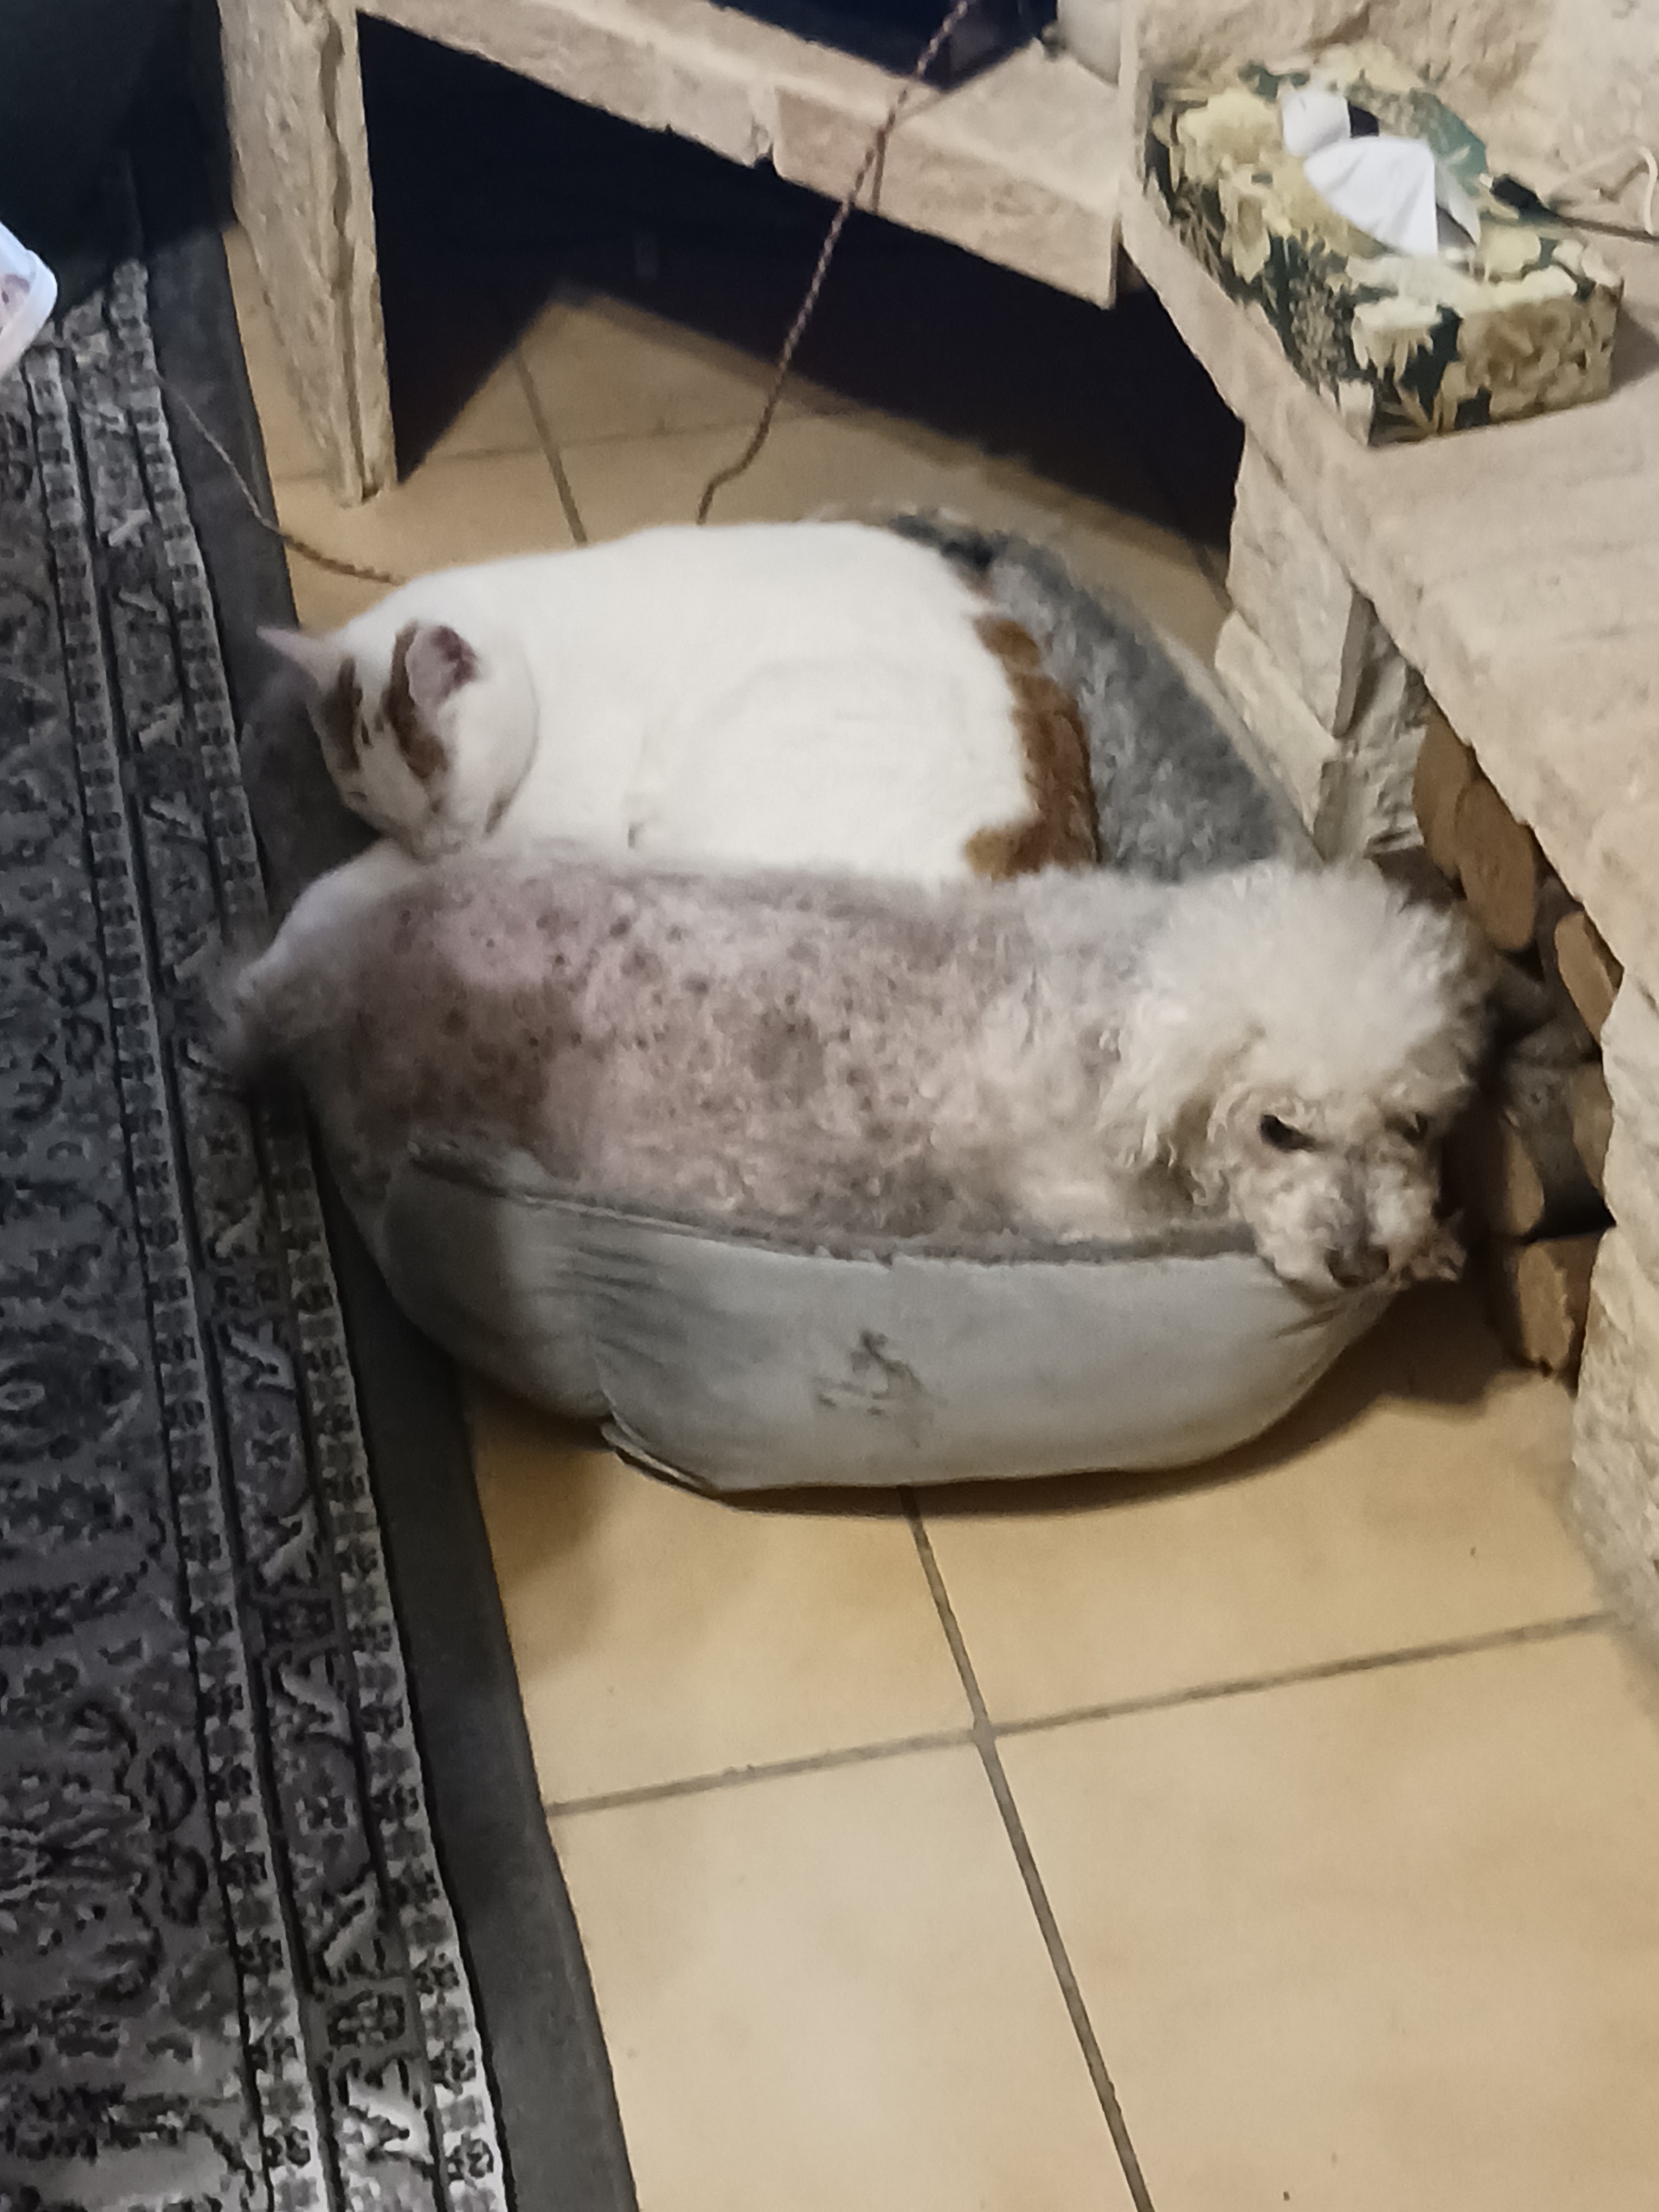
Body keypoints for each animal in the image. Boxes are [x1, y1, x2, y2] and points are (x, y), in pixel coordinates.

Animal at [225, 843, 1491, 1297]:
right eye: (1280, 1128)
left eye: (1413, 1126)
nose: (1361, 1262)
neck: (1121, 1019)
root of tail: (324, 978)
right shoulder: (1084, 1209)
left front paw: (1430, 1241)